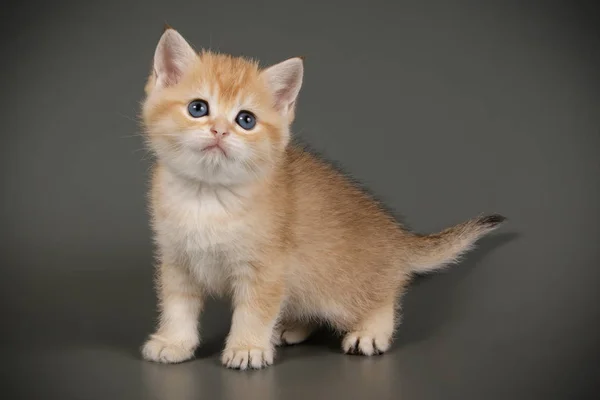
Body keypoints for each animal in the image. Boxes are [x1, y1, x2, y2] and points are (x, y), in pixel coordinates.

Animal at [139, 27, 502, 372]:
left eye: (246, 120)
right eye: (198, 108)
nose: (219, 131)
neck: (207, 195)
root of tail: (397, 238)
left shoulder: (266, 268)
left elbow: (254, 310)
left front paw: (247, 348)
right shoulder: (176, 261)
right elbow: (177, 305)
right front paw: (173, 342)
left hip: (335, 285)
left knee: (382, 298)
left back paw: (370, 331)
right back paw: (292, 327)